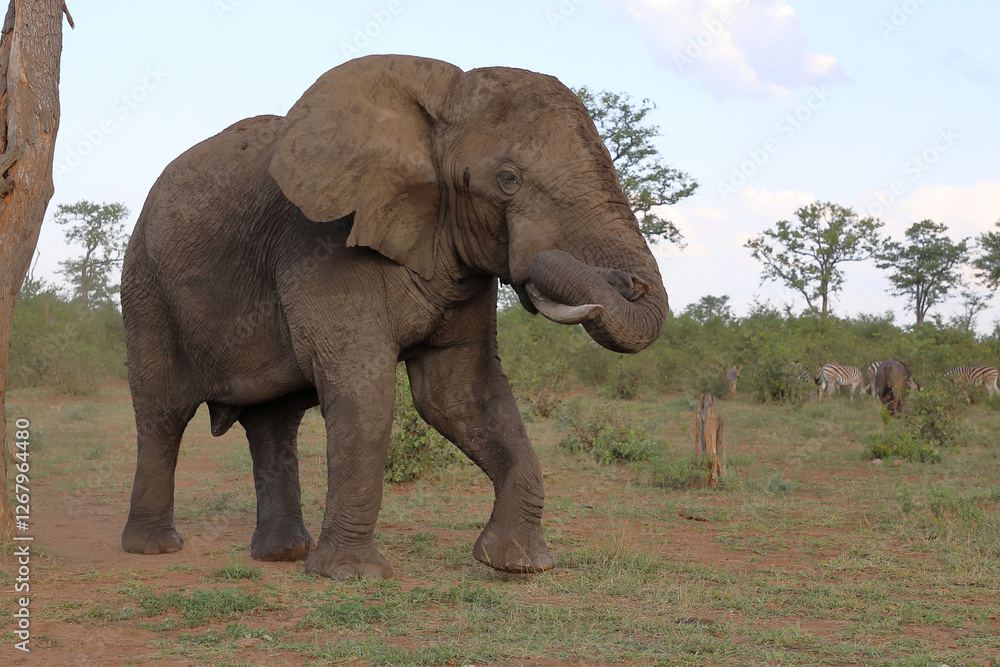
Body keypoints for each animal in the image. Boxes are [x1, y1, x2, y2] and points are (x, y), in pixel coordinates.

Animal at [120, 55, 669, 579]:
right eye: (508, 181)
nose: (630, 282)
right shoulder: (320, 242)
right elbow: (365, 390)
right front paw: (352, 576)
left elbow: (460, 395)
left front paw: (518, 566)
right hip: (144, 282)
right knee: (163, 411)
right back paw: (154, 548)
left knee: (274, 420)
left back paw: (282, 555)